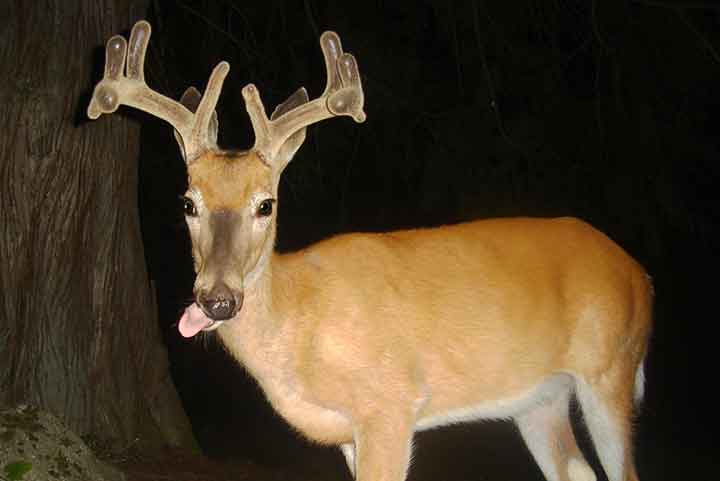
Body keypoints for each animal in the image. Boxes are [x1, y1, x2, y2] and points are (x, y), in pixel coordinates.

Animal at [86, 20, 652, 480]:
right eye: (187, 202)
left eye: (266, 204)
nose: (217, 299)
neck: (300, 321)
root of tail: (639, 272)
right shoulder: (346, 434)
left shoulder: (390, 403)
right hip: (540, 398)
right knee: (578, 471)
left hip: (610, 367)